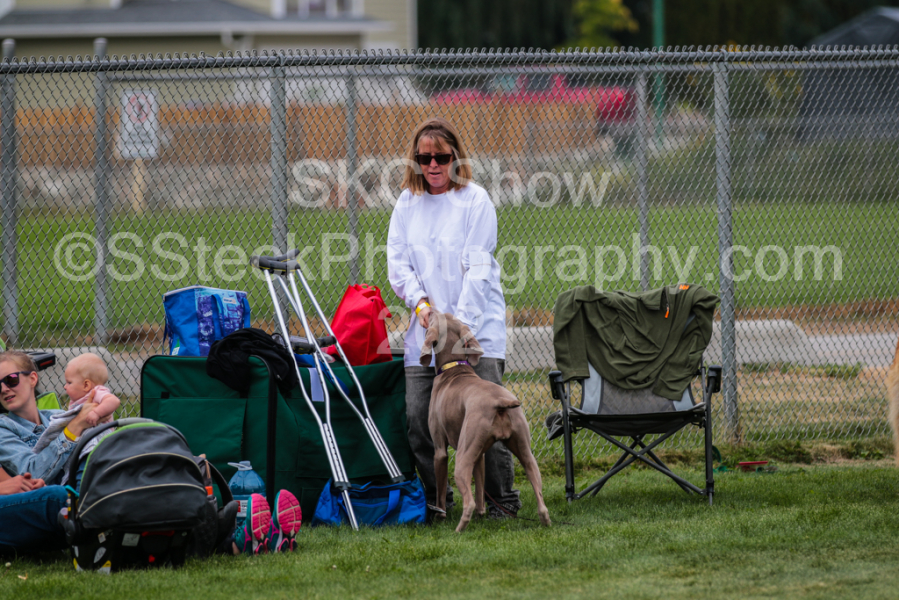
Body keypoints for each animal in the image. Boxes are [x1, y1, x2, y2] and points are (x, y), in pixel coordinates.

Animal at [420, 310, 550, 532]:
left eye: (434, 319)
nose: (432, 310)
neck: (453, 368)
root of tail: (501, 402)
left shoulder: (440, 450)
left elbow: (440, 490)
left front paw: (439, 516)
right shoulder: (480, 453)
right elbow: (480, 486)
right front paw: (482, 515)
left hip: (462, 457)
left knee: (468, 501)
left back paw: (459, 529)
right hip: (525, 451)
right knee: (540, 497)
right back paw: (545, 522)